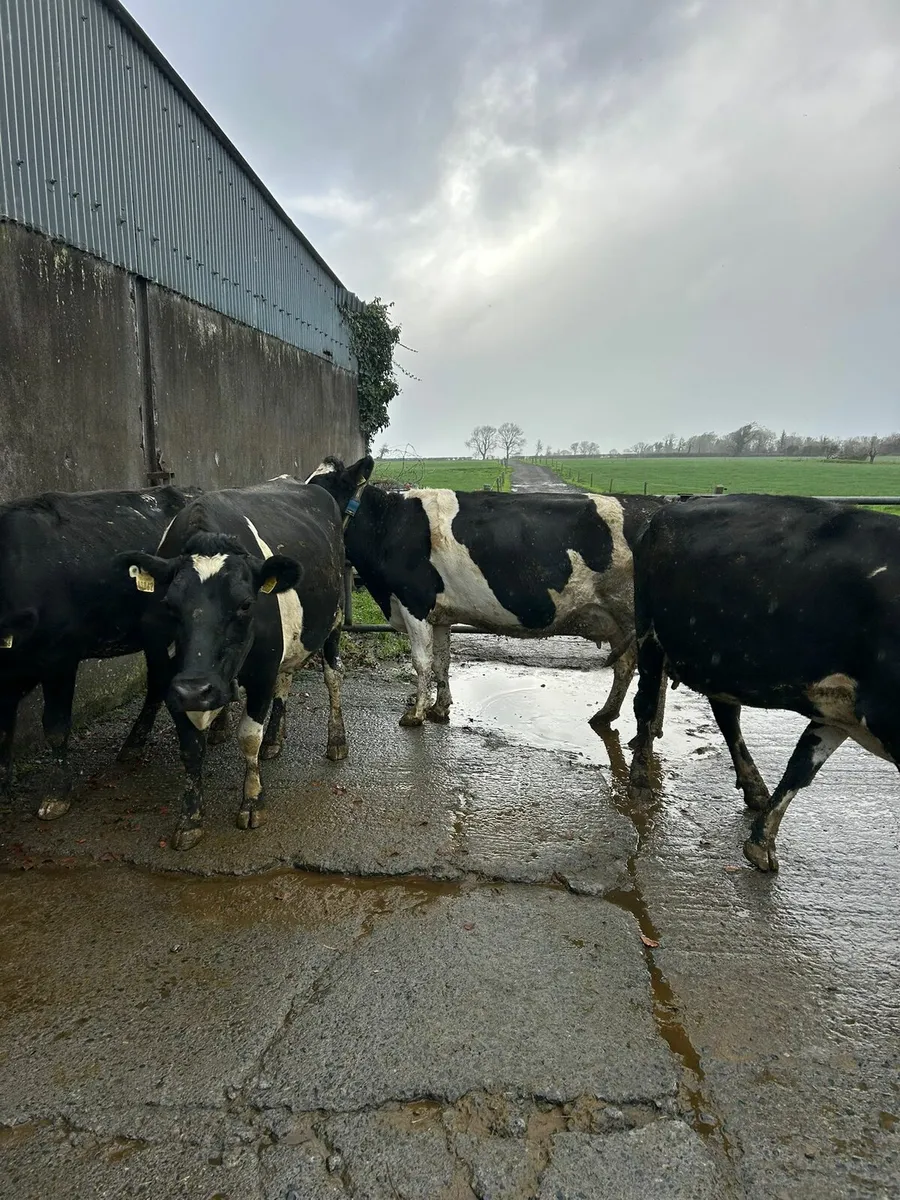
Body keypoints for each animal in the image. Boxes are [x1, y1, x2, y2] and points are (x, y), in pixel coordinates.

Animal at [0, 485, 197, 819]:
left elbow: (55, 726)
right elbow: (3, 731)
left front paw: (57, 794)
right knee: (159, 680)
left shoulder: (60, 659)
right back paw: (135, 744)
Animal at [116, 479, 346, 849]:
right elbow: (190, 746)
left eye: (245, 604)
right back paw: (274, 739)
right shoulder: (171, 679)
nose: (196, 689)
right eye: (168, 605)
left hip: (335, 617)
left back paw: (336, 741)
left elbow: (249, 736)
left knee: (333, 675)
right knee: (286, 679)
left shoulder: (262, 668)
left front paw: (252, 801)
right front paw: (190, 818)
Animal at [307, 455, 665, 730]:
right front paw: (439, 709)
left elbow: (421, 662)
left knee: (653, 670)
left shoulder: (414, 603)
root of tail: (655, 506)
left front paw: (415, 714)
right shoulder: (440, 614)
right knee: (628, 664)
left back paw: (648, 726)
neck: (388, 527)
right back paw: (608, 715)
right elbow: (442, 662)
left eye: (320, 492)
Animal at [627, 493, 900, 872]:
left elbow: (801, 766)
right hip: (650, 634)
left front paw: (760, 842)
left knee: (726, 715)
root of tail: (668, 508)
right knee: (646, 703)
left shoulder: (839, 709)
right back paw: (640, 779)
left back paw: (755, 788)